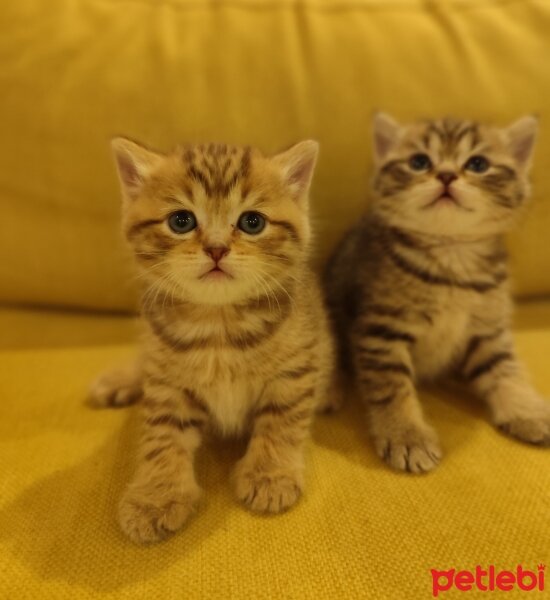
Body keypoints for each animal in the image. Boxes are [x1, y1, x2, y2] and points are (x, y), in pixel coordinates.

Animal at [89, 137, 336, 544]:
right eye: (181, 221)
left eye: (252, 222)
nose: (217, 248)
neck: (219, 326)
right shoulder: (166, 383)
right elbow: (162, 437)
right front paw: (155, 496)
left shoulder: (296, 368)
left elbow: (281, 421)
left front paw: (270, 473)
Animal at [326, 112, 548, 474]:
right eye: (419, 162)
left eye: (477, 164)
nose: (445, 174)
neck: (451, 261)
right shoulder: (381, 330)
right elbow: (393, 387)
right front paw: (407, 436)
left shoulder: (488, 329)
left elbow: (505, 369)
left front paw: (527, 410)